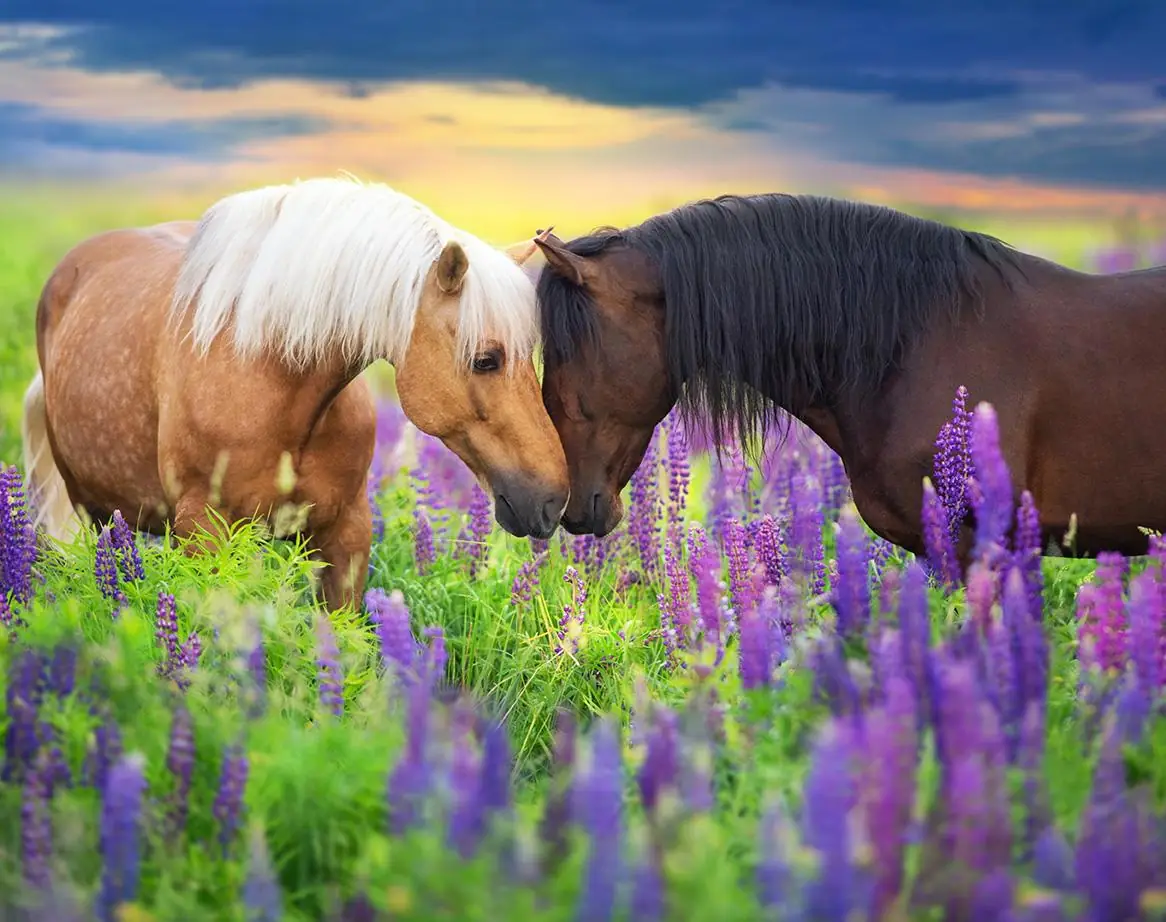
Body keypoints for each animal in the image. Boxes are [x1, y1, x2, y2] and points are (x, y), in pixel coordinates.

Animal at [21, 176, 570, 612]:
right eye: (486, 359)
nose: (553, 500)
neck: (274, 385)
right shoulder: (204, 534)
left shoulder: (347, 533)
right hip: (94, 511)